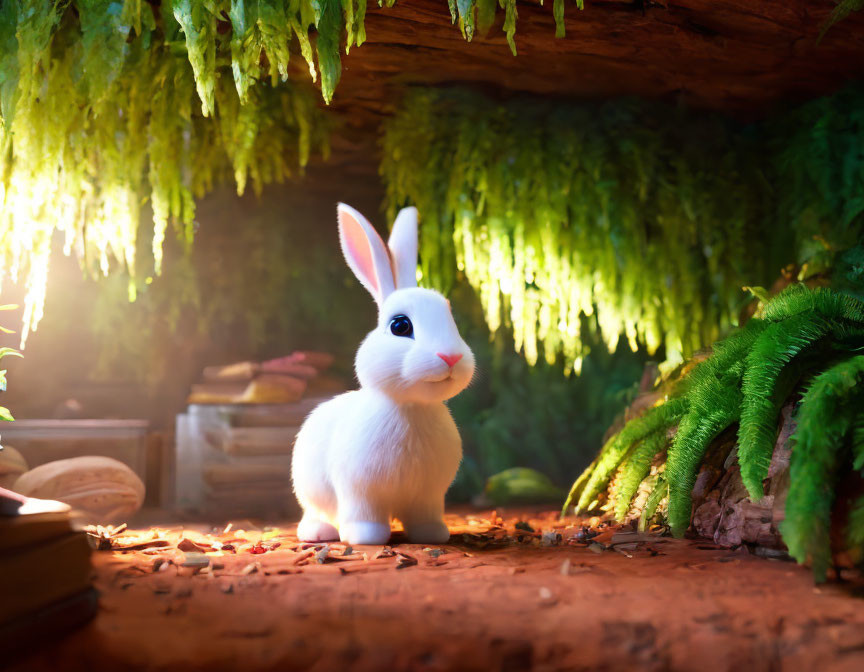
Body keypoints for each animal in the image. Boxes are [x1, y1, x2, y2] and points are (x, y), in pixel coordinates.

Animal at [294, 203, 476, 544]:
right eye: (400, 326)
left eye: (451, 320)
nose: (451, 356)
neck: (411, 409)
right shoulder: (359, 492)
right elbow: (364, 517)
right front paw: (365, 537)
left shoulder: (429, 497)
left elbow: (425, 518)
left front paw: (433, 534)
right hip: (311, 492)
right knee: (315, 513)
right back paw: (318, 532)